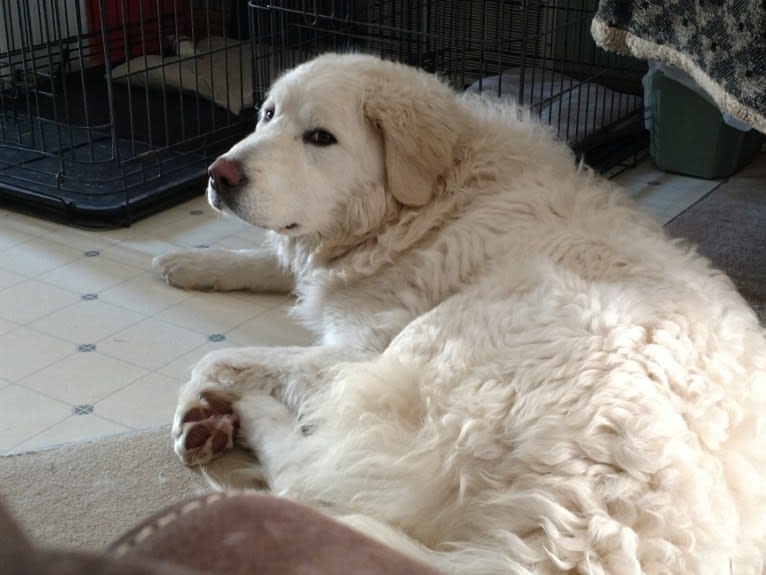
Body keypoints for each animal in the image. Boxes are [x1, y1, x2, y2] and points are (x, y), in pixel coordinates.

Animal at [153, 54, 764, 575]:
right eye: (268, 114)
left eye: (320, 137)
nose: (219, 173)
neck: (433, 205)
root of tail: (591, 548)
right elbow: (268, 262)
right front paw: (189, 262)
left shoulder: (359, 347)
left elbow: (224, 357)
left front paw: (195, 407)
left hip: (442, 343)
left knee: (305, 477)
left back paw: (248, 416)